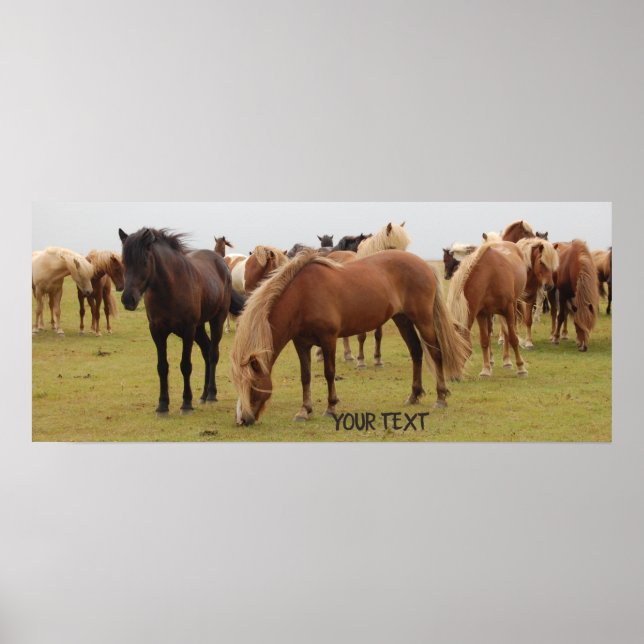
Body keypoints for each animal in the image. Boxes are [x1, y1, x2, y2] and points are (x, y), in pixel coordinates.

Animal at [118, 227, 245, 414]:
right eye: (124, 262)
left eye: (143, 261)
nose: (128, 299)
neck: (170, 288)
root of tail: (221, 263)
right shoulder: (157, 332)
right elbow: (162, 367)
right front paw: (163, 405)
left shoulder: (187, 330)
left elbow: (185, 365)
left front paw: (186, 403)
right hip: (199, 328)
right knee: (206, 351)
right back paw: (203, 395)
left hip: (216, 320)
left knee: (213, 353)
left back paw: (211, 394)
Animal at [231, 249, 469, 425]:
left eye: (252, 384)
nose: (244, 419)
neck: (302, 296)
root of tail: (424, 265)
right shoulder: (301, 344)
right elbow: (305, 376)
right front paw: (304, 410)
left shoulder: (328, 339)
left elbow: (329, 373)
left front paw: (331, 407)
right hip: (402, 319)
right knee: (416, 351)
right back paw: (414, 395)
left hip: (423, 319)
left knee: (436, 352)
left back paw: (440, 398)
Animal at [447, 241, 529, 378]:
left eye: (458, 349)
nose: (453, 377)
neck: (490, 276)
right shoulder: (481, 313)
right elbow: (484, 340)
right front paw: (485, 370)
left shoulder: (508, 309)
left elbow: (513, 338)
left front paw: (521, 368)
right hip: (490, 313)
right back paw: (490, 362)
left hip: (510, 308)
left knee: (507, 332)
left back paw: (507, 362)